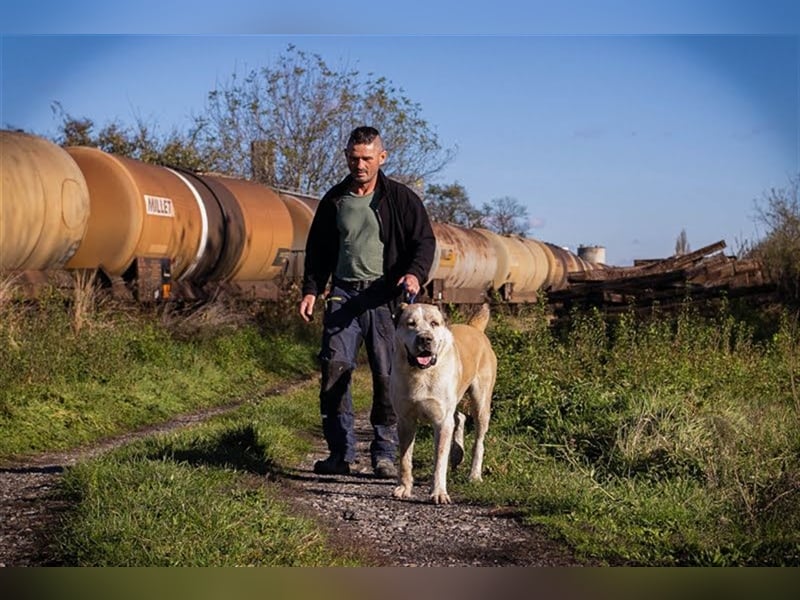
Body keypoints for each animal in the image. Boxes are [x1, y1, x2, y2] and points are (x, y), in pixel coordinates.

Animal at [390, 302, 496, 504]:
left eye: (434, 323)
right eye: (410, 323)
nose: (425, 339)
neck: (421, 373)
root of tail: (474, 328)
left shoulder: (441, 421)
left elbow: (439, 459)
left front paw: (438, 492)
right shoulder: (405, 421)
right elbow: (405, 459)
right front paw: (404, 488)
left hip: (481, 403)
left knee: (478, 440)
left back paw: (474, 475)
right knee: (459, 417)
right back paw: (457, 454)